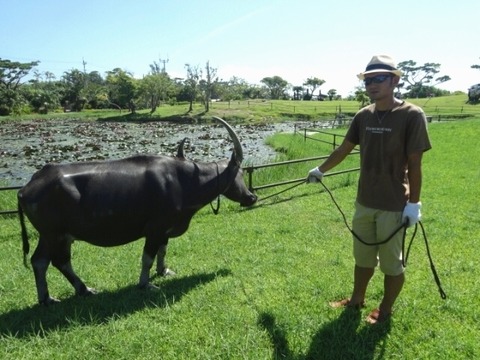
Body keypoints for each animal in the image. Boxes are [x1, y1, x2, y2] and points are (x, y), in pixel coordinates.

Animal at [17, 116, 258, 306]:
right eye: (240, 174)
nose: (252, 197)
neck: (185, 181)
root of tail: (27, 187)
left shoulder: (164, 231)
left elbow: (162, 251)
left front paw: (164, 271)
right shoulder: (154, 229)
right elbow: (147, 258)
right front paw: (145, 284)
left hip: (50, 236)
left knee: (40, 261)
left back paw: (48, 298)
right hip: (55, 235)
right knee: (59, 261)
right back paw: (83, 289)